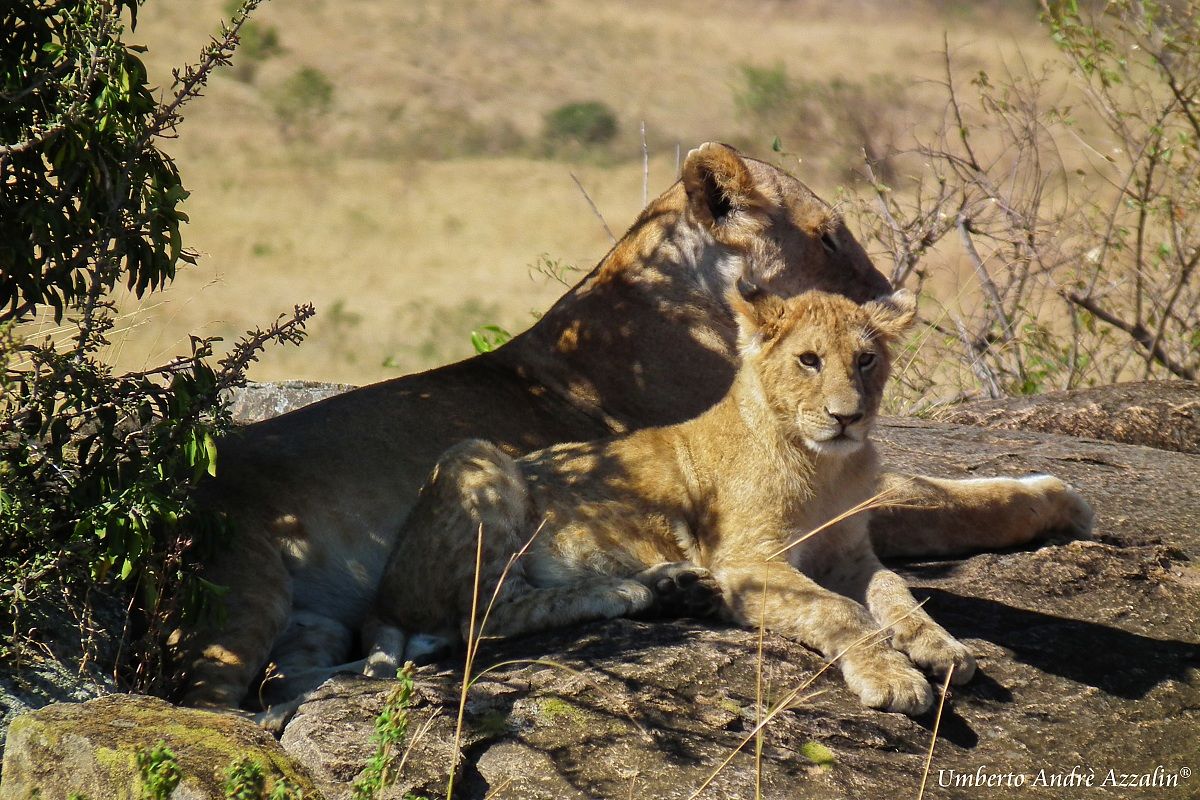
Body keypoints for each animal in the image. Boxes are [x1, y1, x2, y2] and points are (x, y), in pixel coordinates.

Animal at [362, 287, 1091, 714]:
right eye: (808, 360)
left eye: (865, 360)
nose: (847, 417)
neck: (827, 466)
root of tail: (380, 598)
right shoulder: (747, 562)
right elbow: (840, 613)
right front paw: (891, 677)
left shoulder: (850, 553)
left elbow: (893, 592)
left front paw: (937, 645)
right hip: (476, 455)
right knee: (484, 616)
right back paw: (630, 592)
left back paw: (672, 585)